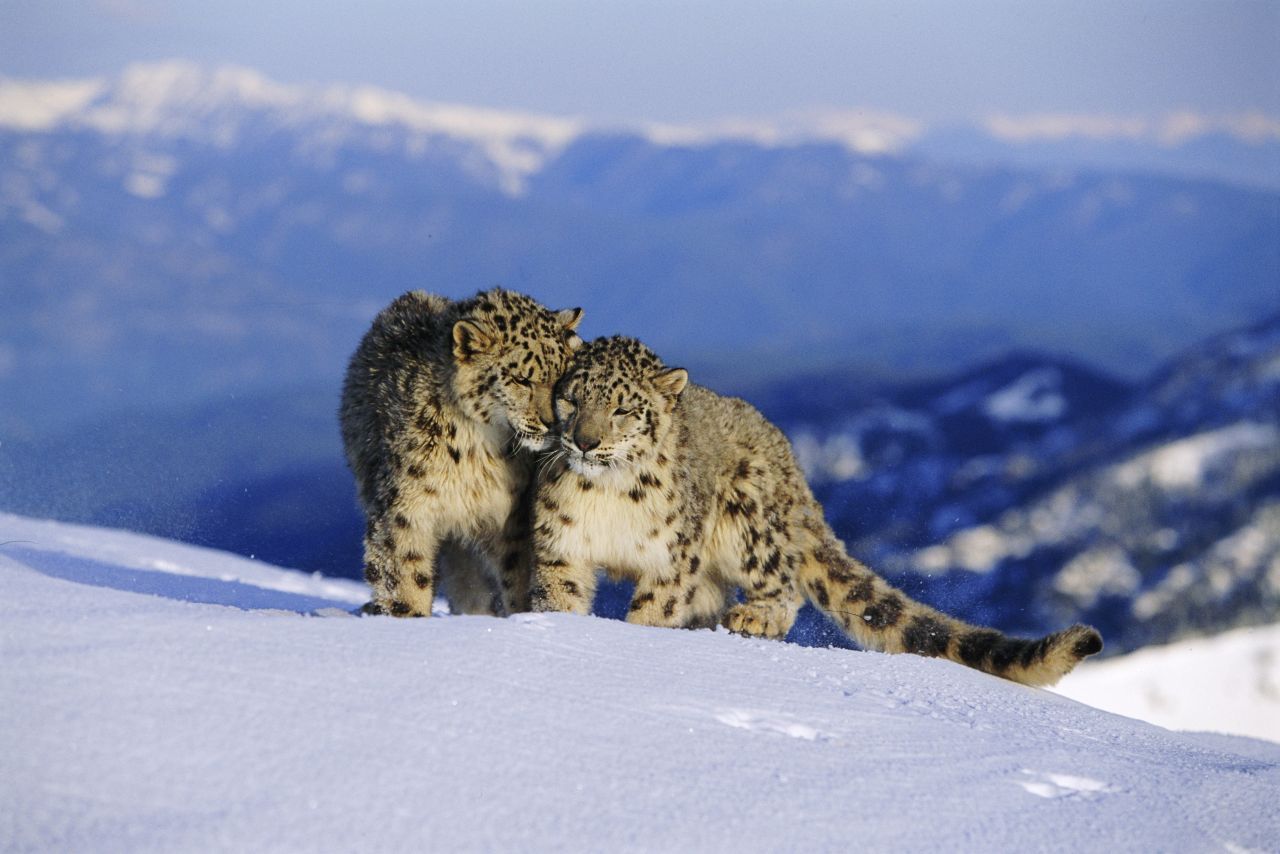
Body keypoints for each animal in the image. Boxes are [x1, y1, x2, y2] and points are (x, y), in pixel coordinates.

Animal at [337, 290, 583, 617]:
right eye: (521, 379)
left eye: (563, 378)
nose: (552, 422)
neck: (478, 448)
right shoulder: (405, 508)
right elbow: (405, 569)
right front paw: (409, 614)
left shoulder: (509, 518)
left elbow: (516, 576)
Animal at [529, 335, 1100, 686]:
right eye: (572, 398)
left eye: (624, 408)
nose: (584, 441)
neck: (607, 495)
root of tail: (793, 466)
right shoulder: (560, 546)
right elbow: (560, 598)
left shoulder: (671, 562)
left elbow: (654, 612)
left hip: (750, 519)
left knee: (783, 588)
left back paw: (754, 617)